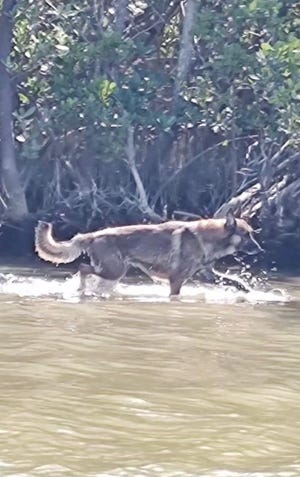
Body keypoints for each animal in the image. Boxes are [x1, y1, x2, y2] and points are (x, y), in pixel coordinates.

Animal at [34, 210, 262, 296]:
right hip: (113, 270)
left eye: (252, 234)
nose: (260, 249)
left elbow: (236, 281)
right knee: (83, 268)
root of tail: (91, 235)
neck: (209, 239)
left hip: (114, 273)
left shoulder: (208, 274)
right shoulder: (177, 279)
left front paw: (249, 292)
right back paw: (81, 289)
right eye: (246, 235)